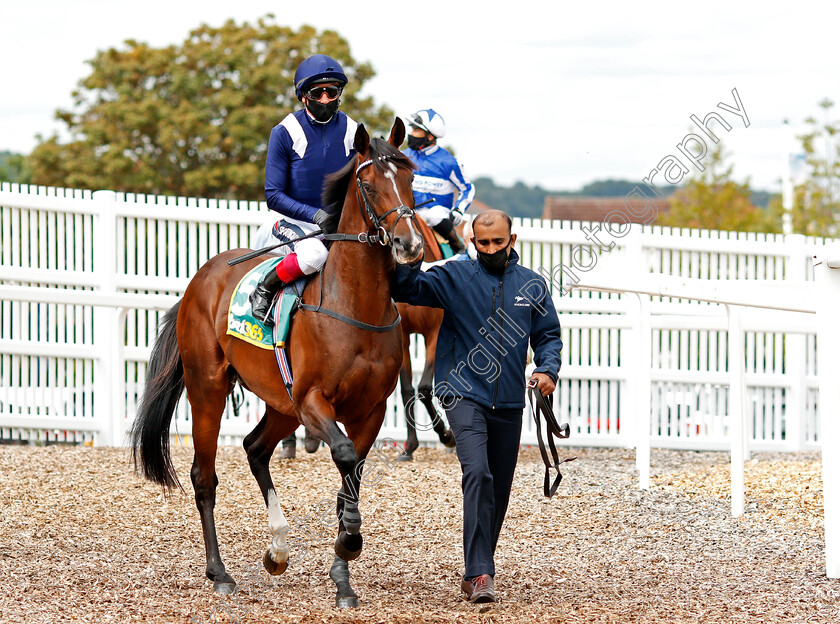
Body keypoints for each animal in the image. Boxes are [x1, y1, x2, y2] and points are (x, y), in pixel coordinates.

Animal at [132, 119, 426, 608]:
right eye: (368, 184)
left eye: (409, 179)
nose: (410, 244)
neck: (354, 306)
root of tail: (200, 280)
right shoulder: (312, 401)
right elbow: (343, 455)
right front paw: (350, 541)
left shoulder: (370, 411)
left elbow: (352, 476)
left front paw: (343, 575)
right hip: (210, 391)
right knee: (204, 476)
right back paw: (220, 573)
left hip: (280, 404)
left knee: (255, 448)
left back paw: (278, 549)